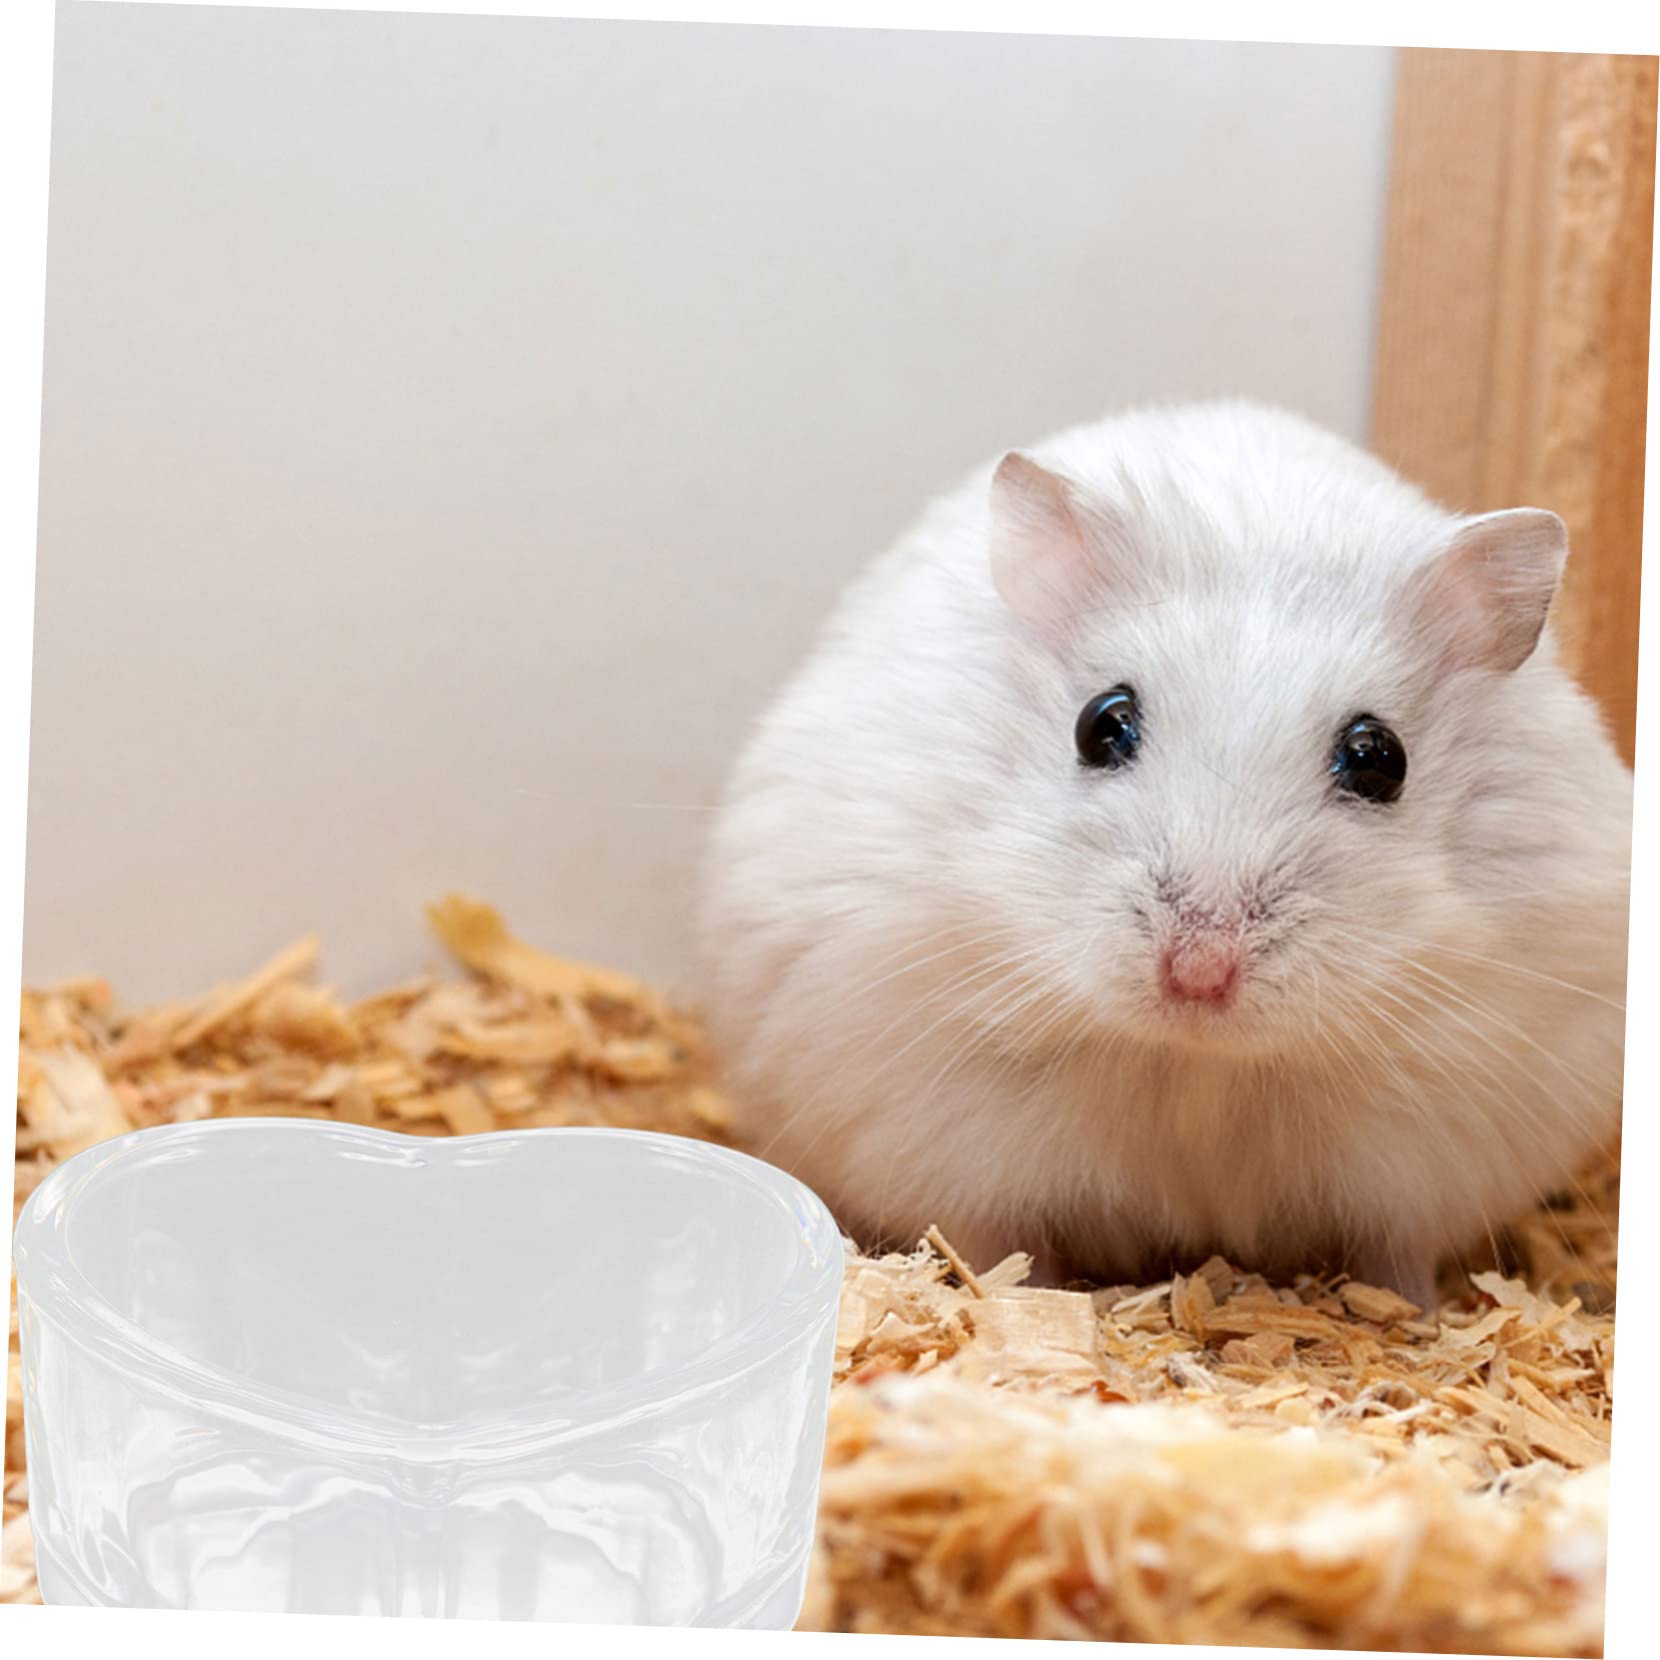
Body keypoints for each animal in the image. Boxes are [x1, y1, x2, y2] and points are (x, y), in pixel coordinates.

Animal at [697, 400, 1631, 1306]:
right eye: (1101, 724)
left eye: (1379, 758)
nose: (1198, 974)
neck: (1195, 1063)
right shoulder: (946, 1126)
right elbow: (1003, 1248)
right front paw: (1026, 1306)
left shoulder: (1433, 1149)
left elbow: (1391, 1263)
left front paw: (1420, 1317)